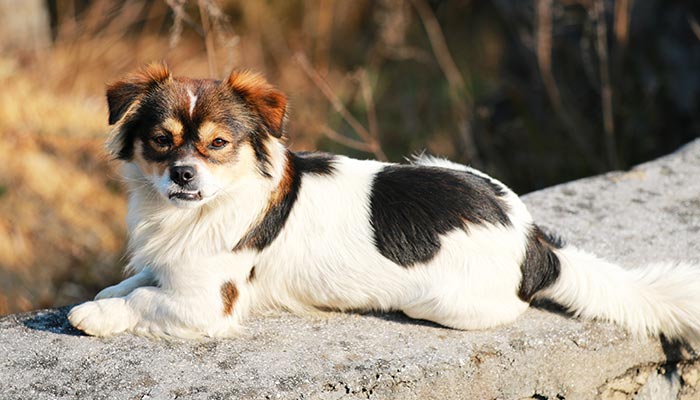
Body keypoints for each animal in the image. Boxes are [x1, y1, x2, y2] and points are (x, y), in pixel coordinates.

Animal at [67, 64, 700, 340]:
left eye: (218, 144)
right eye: (161, 140)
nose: (182, 174)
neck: (194, 211)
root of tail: (535, 244)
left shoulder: (207, 305)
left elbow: (142, 300)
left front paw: (92, 316)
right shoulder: (170, 266)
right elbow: (134, 282)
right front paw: (105, 295)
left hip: (442, 303)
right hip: (431, 158)